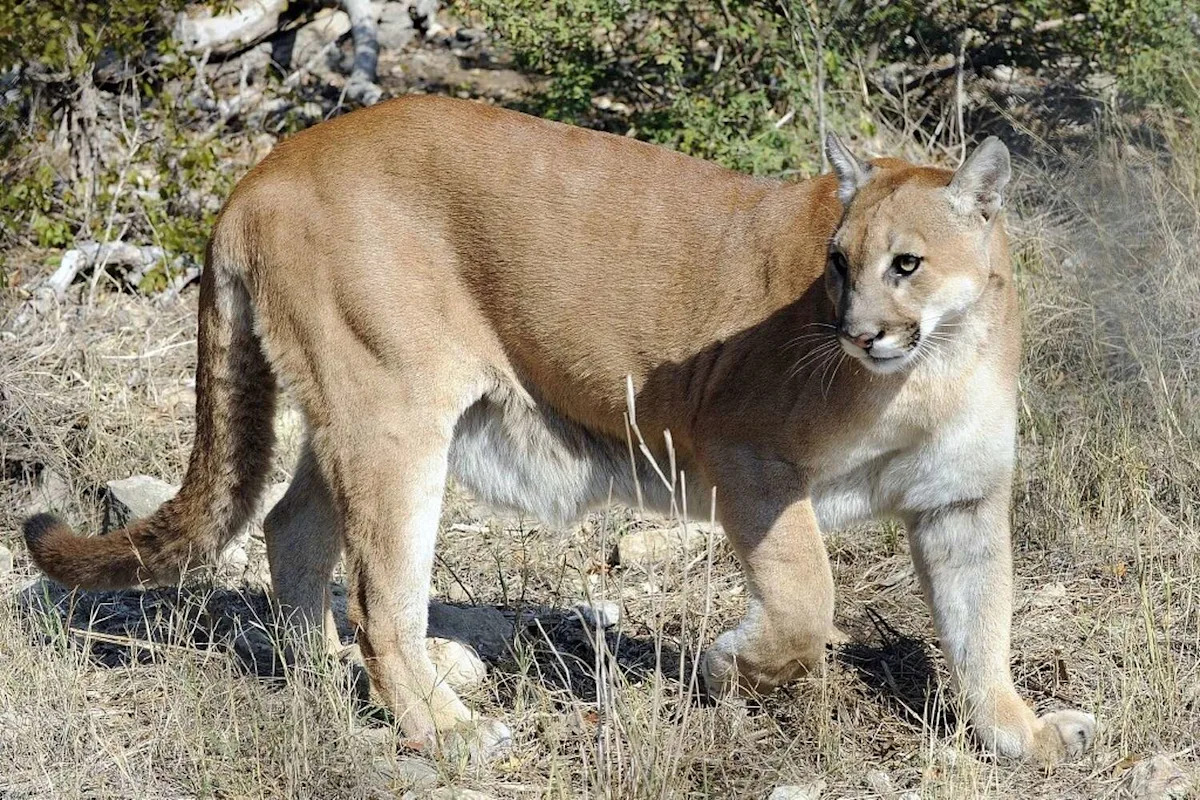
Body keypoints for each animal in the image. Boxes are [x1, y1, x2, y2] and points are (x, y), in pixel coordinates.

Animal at [24, 95, 1095, 763]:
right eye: (836, 263)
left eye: (905, 263)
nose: (857, 331)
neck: (933, 366)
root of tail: (265, 166)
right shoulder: (746, 456)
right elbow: (806, 601)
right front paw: (733, 666)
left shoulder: (961, 501)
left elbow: (983, 629)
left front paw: (1023, 737)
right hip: (392, 414)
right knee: (378, 593)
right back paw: (447, 729)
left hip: (357, 414)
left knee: (294, 531)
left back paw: (325, 675)